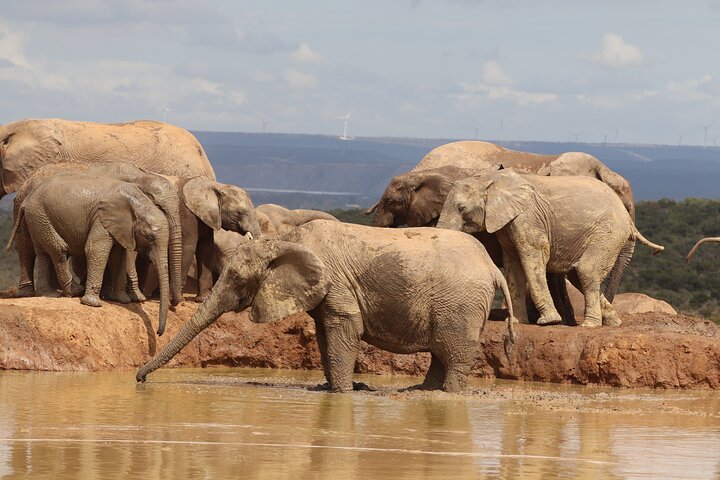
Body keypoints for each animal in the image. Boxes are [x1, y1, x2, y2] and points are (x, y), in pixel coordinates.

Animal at [8, 173, 171, 335]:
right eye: (150, 238)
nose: (158, 332)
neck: (138, 202)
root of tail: (26, 200)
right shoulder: (100, 219)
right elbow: (95, 249)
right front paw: (93, 304)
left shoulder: (120, 227)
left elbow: (119, 256)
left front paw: (122, 300)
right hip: (40, 216)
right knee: (59, 249)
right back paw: (74, 291)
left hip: (37, 219)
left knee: (44, 253)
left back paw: (49, 294)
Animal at [136, 220, 517, 393]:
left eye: (237, 279)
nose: (140, 379)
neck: (287, 238)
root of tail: (493, 268)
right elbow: (324, 336)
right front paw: (331, 389)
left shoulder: (337, 286)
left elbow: (343, 332)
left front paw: (343, 392)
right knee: (442, 352)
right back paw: (423, 392)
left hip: (461, 305)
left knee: (453, 351)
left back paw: (447, 394)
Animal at [437, 169, 663, 328]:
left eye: (461, 208)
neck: (491, 179)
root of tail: (628, 220)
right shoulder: (507, 223)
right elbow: (513, 263)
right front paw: (518, 322)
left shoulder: (528, 217)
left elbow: (533, 256)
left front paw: (549, 322)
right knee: (578, 274)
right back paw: (613, 322)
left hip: (608, 233)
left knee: (587, 270)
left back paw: (590, 325)